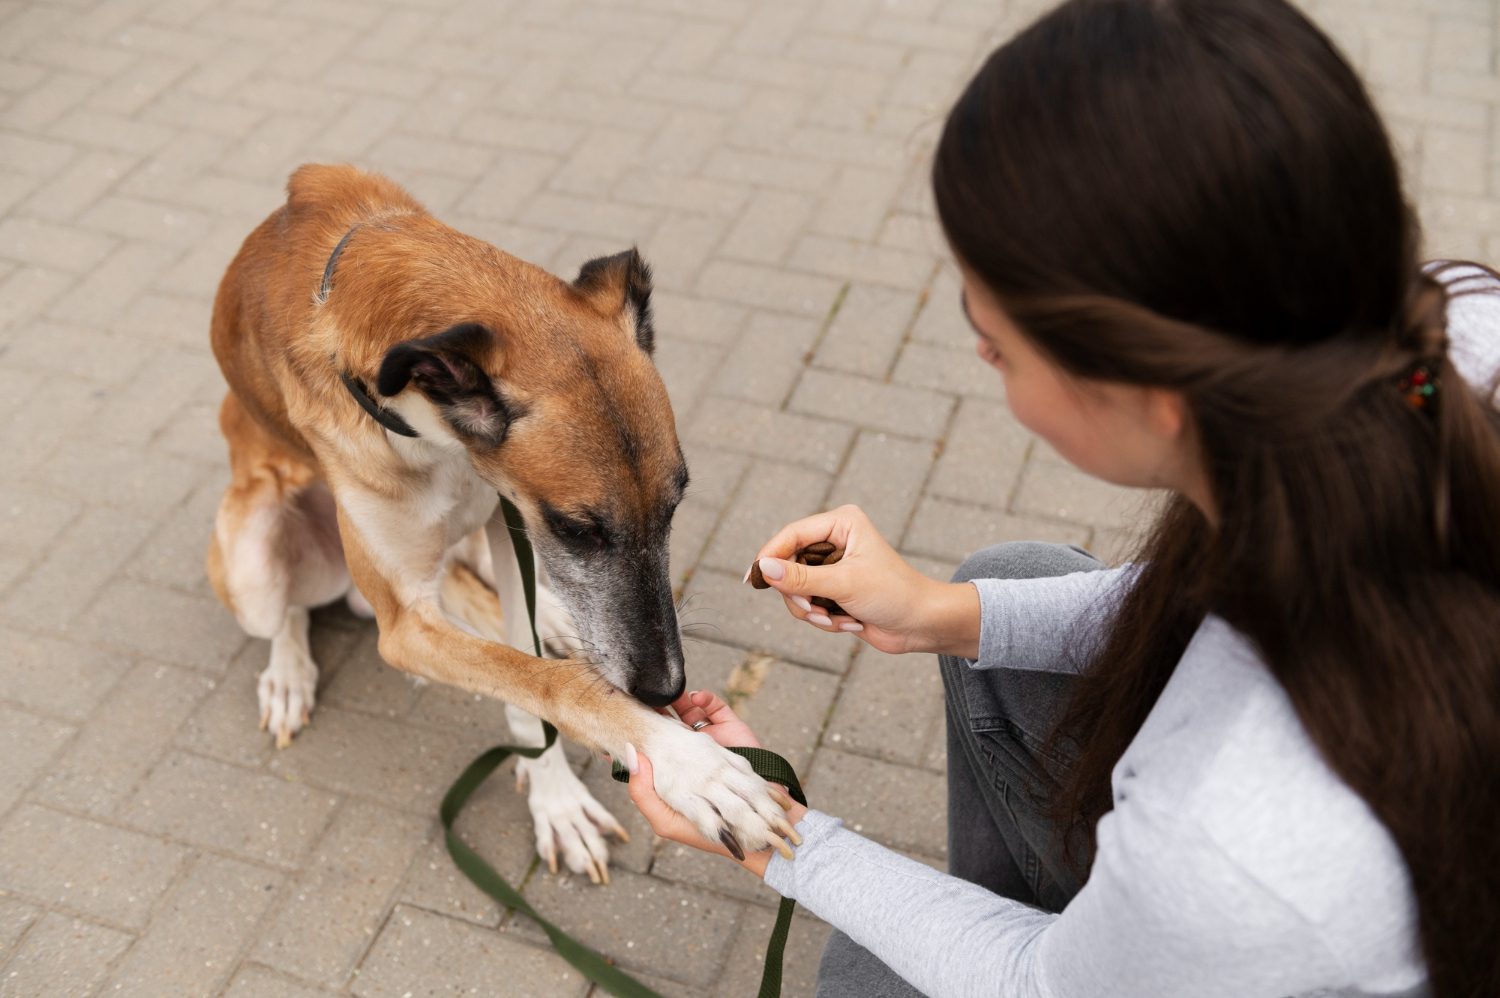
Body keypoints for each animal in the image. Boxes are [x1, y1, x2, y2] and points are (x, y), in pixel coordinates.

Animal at [208, 163, 798, 882]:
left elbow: (528, 671)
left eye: (676, 505)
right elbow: (548, 681)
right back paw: (289, 675)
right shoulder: (405, 624)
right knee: (288, 613)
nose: (665, 689)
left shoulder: (506, 516)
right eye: (578, 529)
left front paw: (556, 796)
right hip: (252, 560)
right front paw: (689, 765)